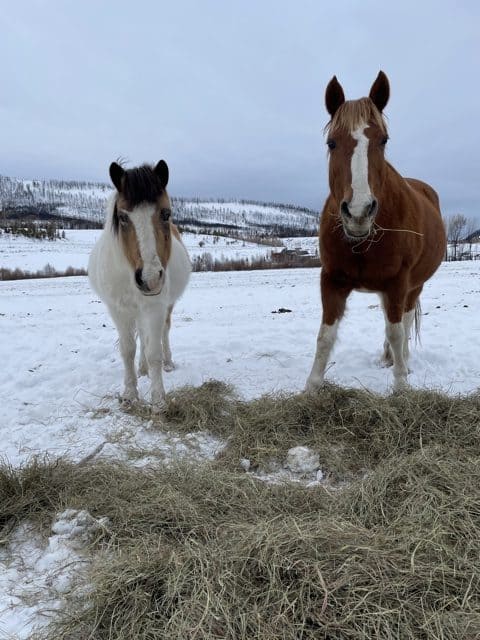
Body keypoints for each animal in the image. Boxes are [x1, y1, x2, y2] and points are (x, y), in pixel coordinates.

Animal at [89, 161, 190, 410]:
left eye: (166, 213)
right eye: (123, 217)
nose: (150, 278)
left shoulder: (155, 307)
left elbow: (154, 352)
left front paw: (158, 400)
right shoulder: (119, 310)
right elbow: (127, 350)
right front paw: (129, 395)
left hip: (165, 306)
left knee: (162, 333)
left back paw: (167, 363)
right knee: (142, 337)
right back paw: (142, 369)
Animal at [308, 70, 446, 390]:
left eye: (383, 141)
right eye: (332, 143)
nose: (358, 211)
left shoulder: (398, 283)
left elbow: (396, 332)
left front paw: (401, 388)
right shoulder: (331, 280)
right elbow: (325, 337)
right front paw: (310, 388)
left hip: (413, 286)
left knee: (403, 322)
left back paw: (402, 361)